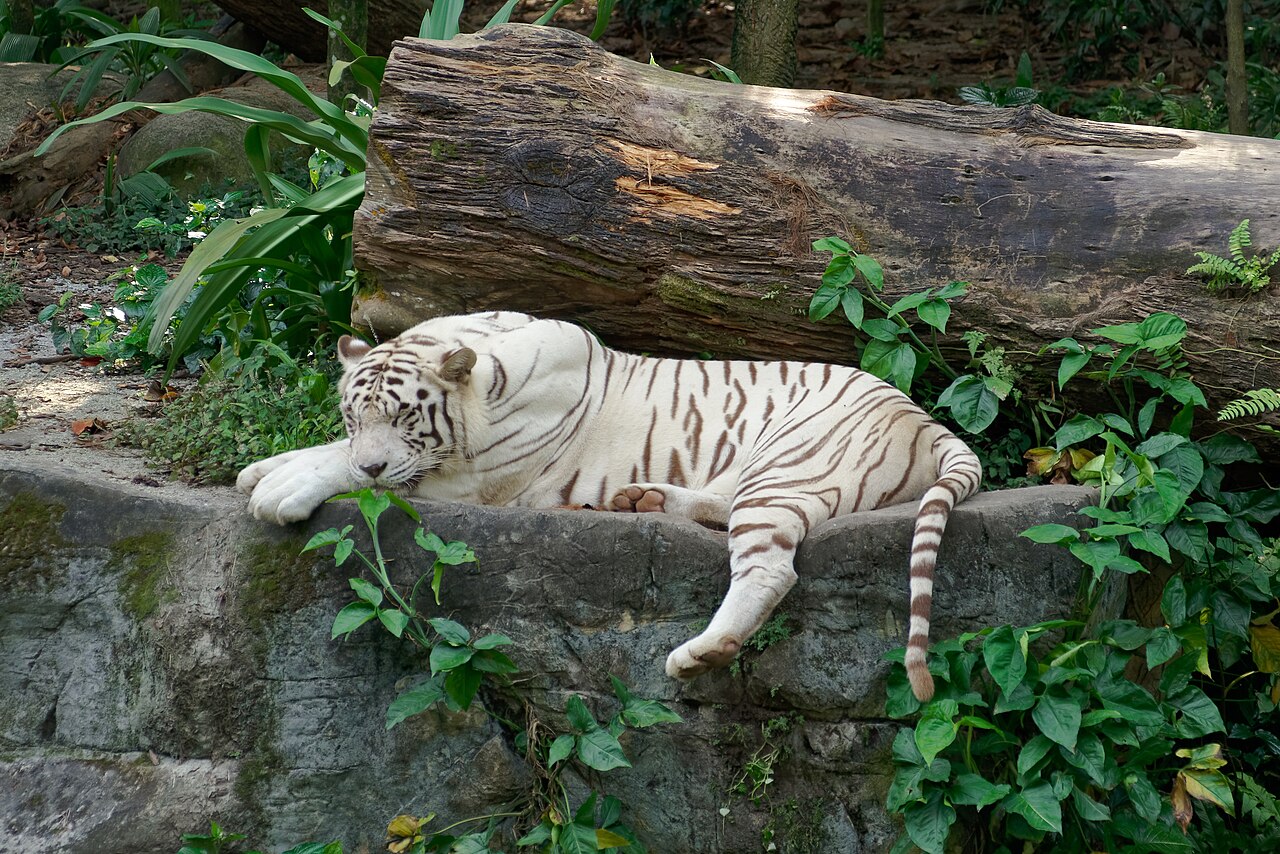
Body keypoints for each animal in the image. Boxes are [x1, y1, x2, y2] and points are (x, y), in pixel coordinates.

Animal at [237, 311, 982, 701]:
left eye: (402, 418)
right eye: (354, 413)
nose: (375, 457)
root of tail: (925, 418)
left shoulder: (472, 480)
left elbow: (354, 470)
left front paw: (282, 489)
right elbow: (324, 447)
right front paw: (261, 468)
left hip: (786, 466)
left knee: (770, 569)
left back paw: (697, 654)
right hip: (758, 471)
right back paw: (639, 496)